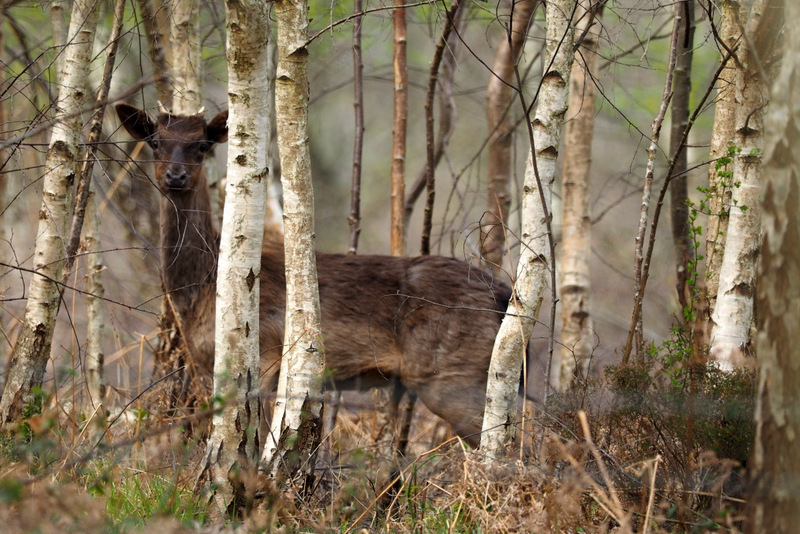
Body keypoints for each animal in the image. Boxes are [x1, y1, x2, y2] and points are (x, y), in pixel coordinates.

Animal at [114, 103, 524, 448]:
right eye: (156, 141)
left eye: (201, 145)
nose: (176, 175)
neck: (202, 286)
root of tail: (501, 292)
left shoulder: (267, 350)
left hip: (453, 375)